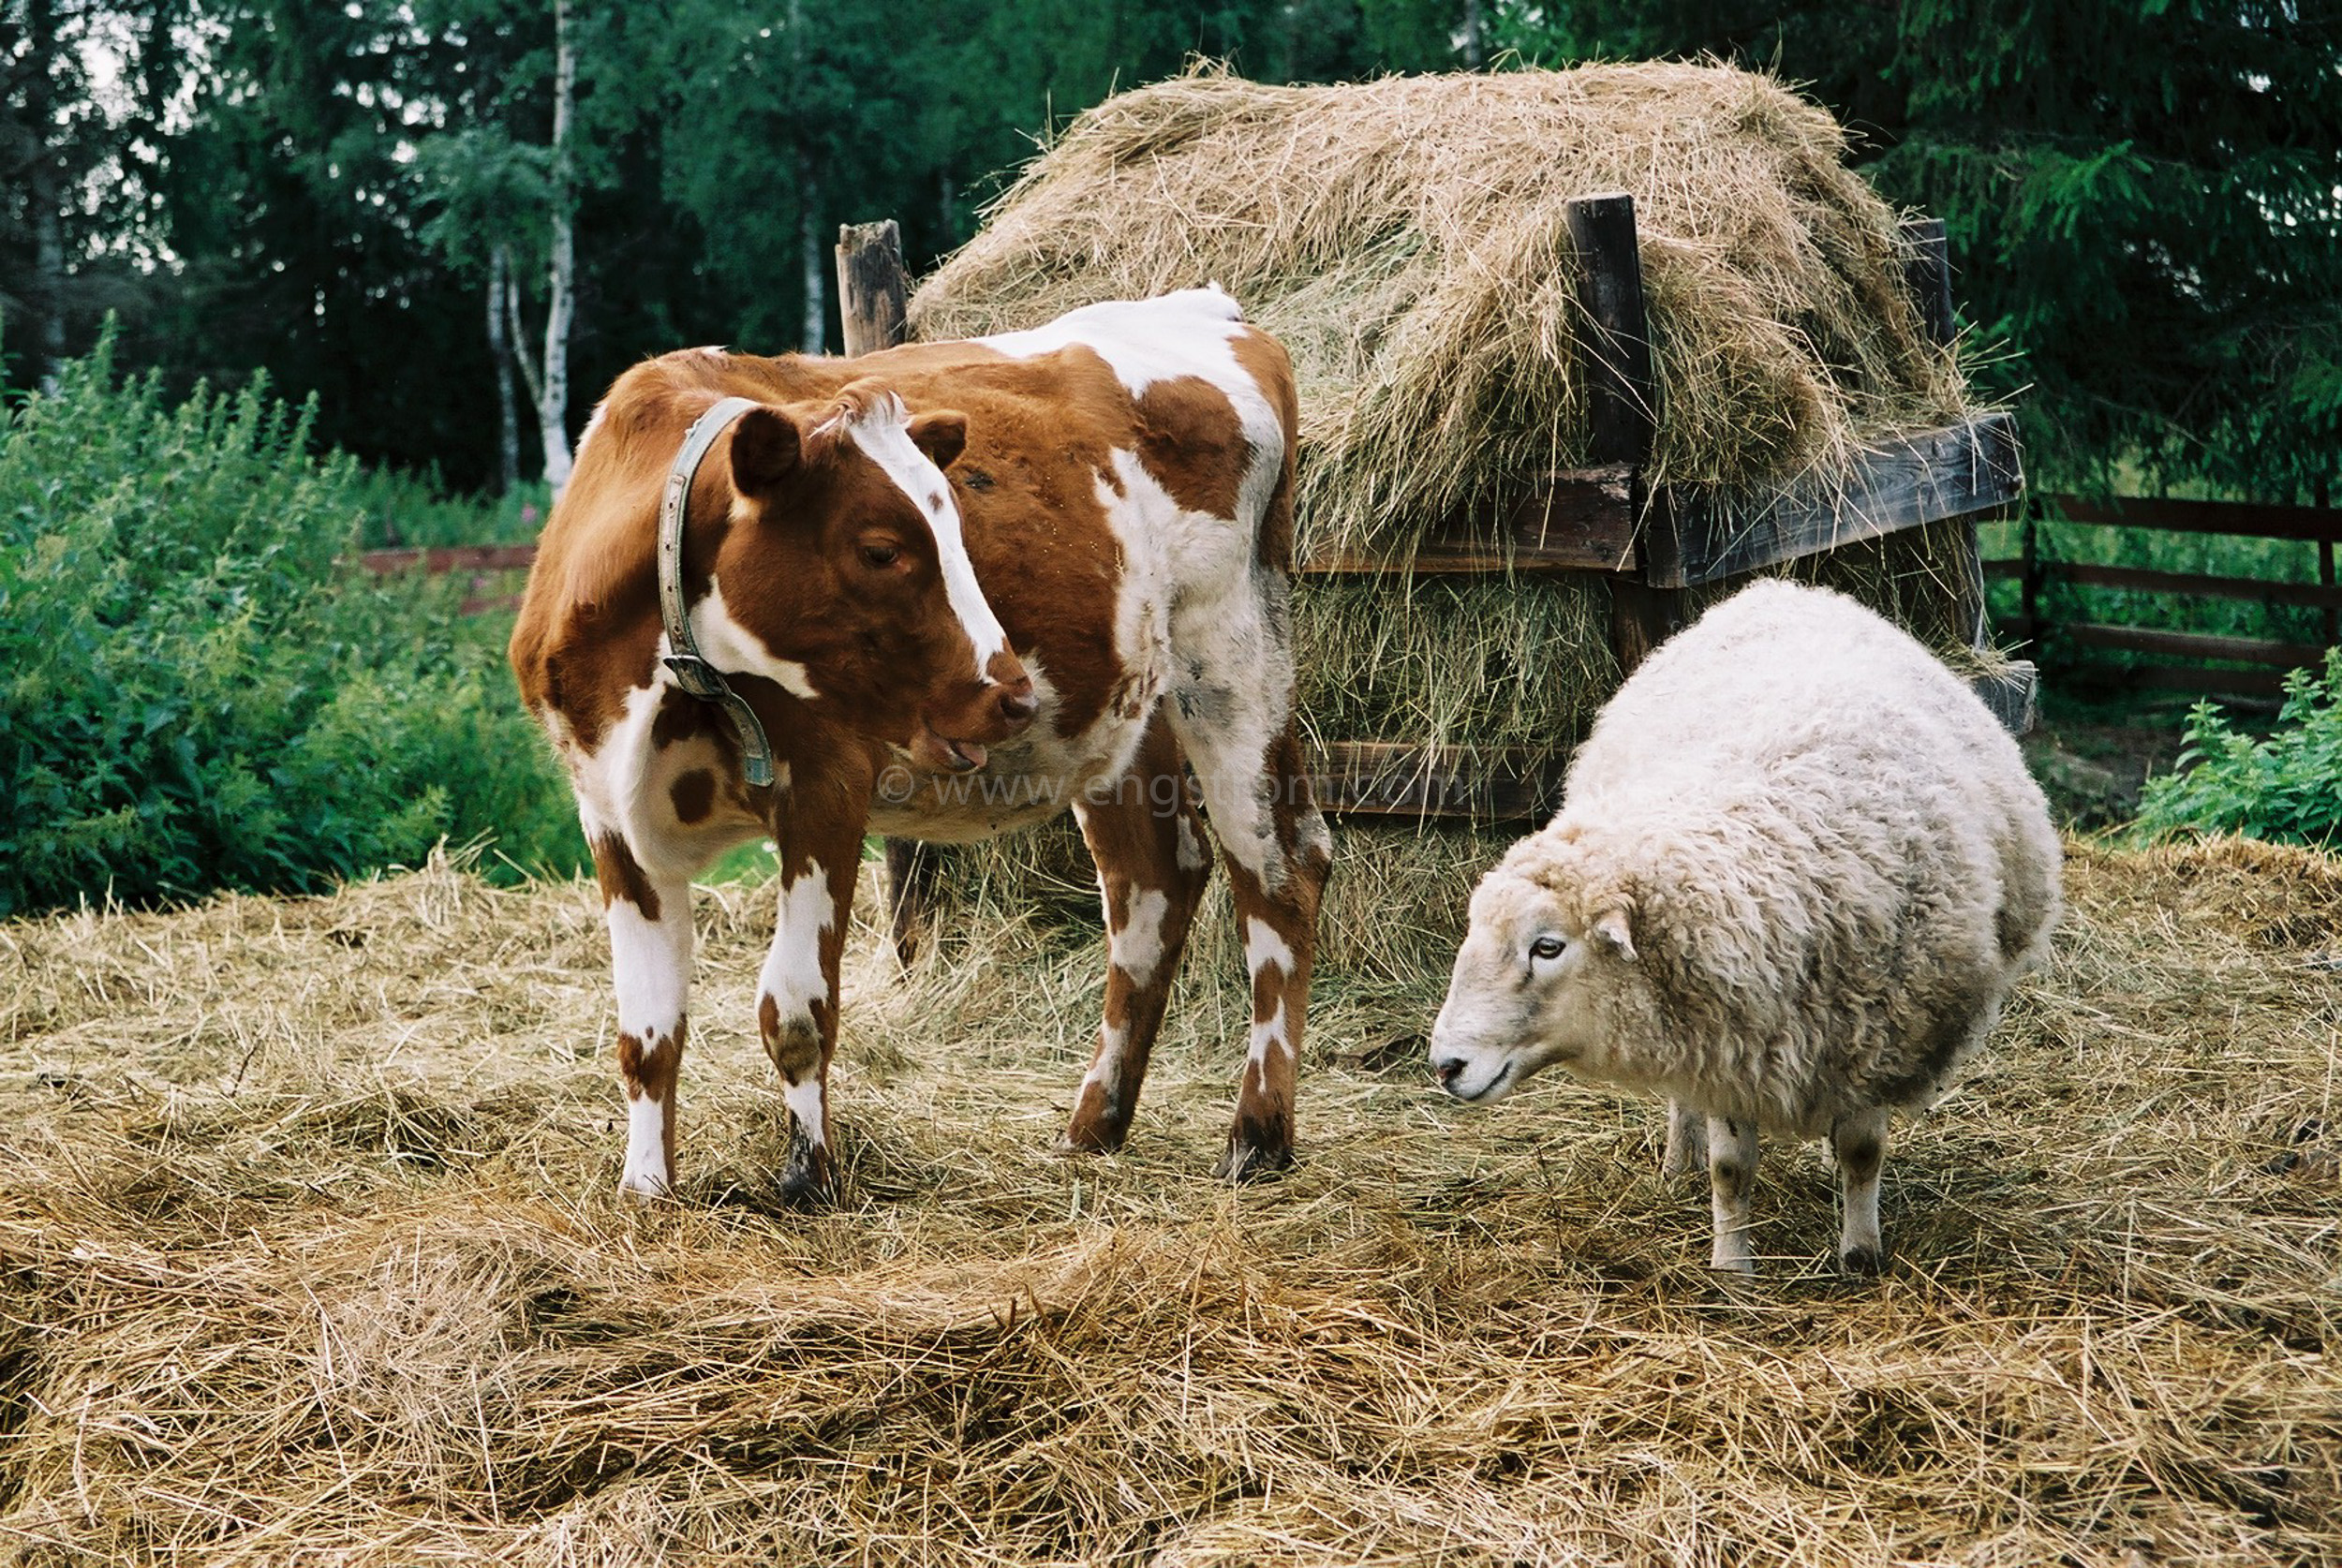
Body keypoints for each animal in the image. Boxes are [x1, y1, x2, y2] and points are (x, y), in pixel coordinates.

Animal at [503, 291, 1330, 1207]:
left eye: (955, 529)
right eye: (881, 549)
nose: (1009, 693)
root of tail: (1210, 310)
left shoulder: (825, 786)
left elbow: (795, 1007)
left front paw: (809, 1178)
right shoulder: (609, 811)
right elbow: (647, 1032)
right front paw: (646, 1191)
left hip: (1231, 655)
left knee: (1279, 869)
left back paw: (1257, 1136)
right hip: (1126, 707)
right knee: (1155, 880)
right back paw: (1094, 1126)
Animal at [1424, 578, 2070, 1273]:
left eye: (1547, 947)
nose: (1446, 1066)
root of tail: (1781, 589)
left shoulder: (1880, 1033)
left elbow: (1863, 1152)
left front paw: (1860, 1254)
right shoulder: (1725, 1046)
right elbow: (1730, 1169)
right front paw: (1732, 1268)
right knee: (1685, 1107)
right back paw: (1676, 1165)